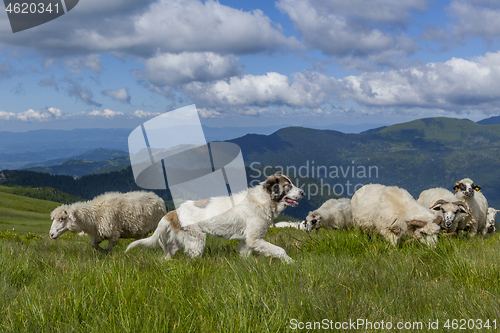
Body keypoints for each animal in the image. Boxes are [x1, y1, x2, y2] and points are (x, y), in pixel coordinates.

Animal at [125, 174, 304, 262]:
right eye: (288, 186)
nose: (302, 192)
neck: (264, 200)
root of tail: (174, 211)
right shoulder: (255, 239)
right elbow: (280, 250)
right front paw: (290, 262)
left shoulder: (247, 241)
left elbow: (245, 254)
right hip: (196, 240)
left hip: (179, 243)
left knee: (166, 256)